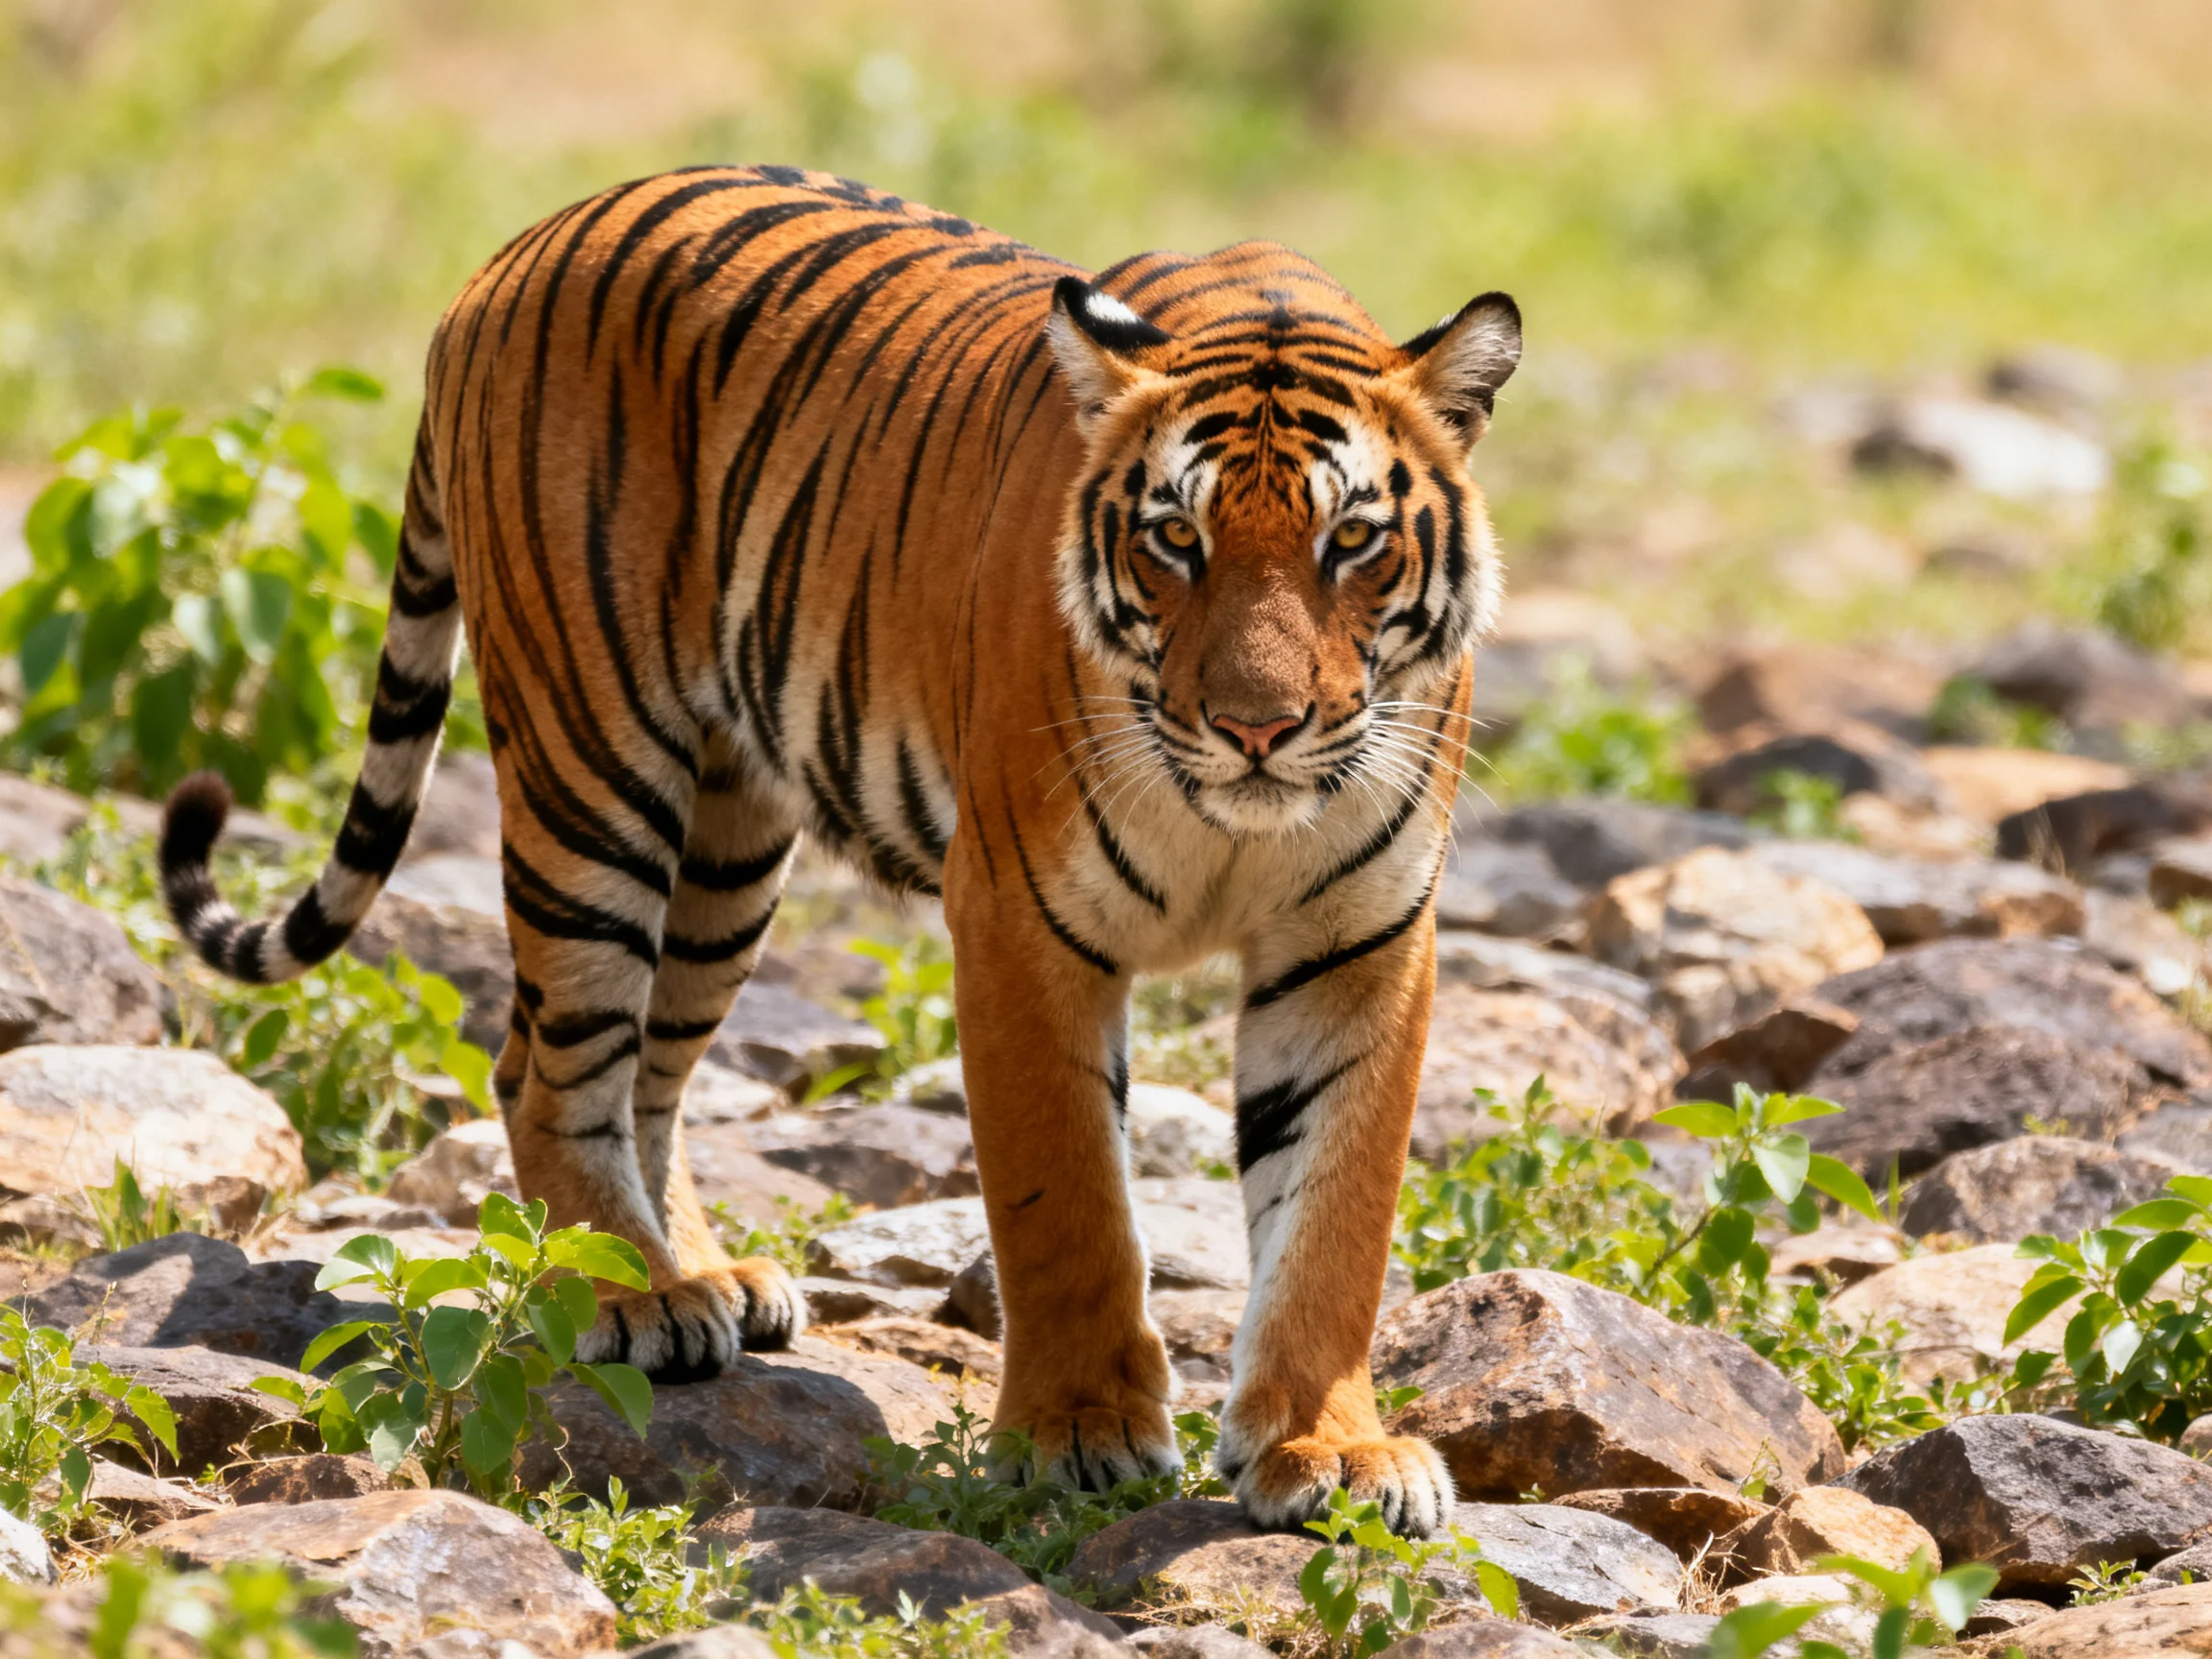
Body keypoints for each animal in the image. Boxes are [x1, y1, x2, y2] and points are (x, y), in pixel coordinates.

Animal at [158, 164, 1520, 1537]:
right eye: (1174, 540)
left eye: (1351, 542)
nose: (1255, 728)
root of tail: (514, 249)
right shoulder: (1020, 918)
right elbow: (1066, 1198)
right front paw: (1078, 1433)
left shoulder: (1357, 942)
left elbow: (1335, 1216)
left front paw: (1330, 1450)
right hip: (591, 770)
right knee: (549, 1063)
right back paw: (627, 1297)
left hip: (724, 852)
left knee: (635, 1068)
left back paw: (702, 1274)